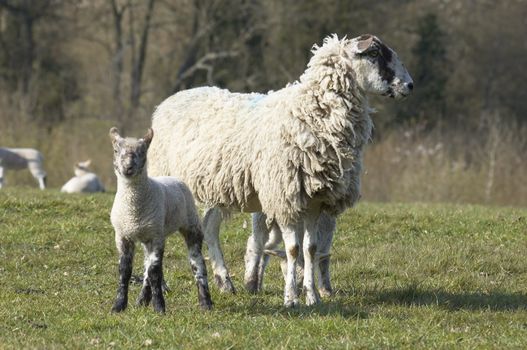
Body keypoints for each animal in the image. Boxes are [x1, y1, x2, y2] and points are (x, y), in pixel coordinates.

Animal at [109, 127, 212, 314]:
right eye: (115, 150)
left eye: (143, 151)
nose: (128, 168)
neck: (134, 212)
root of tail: (173, 177)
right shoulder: (123, 235)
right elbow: (125, 271)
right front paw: (118, 306)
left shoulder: (156, 237)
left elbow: (155, 272)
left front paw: (159, 308)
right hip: (148, 234)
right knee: (146, 269)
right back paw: (142, 300)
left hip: (190, 224)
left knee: (197, 263)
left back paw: (205, 302)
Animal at [147, 33, 412, 306]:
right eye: (374, 54)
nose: (409, 85)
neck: (311, 113)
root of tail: (168, 102)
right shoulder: (285, 197)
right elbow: (292, 250)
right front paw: (291, 297)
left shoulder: (315, 200)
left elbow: (310, 249)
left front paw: (312, 296)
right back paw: (162, 284)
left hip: (216, 190)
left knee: (210, 228)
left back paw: (225, 282)